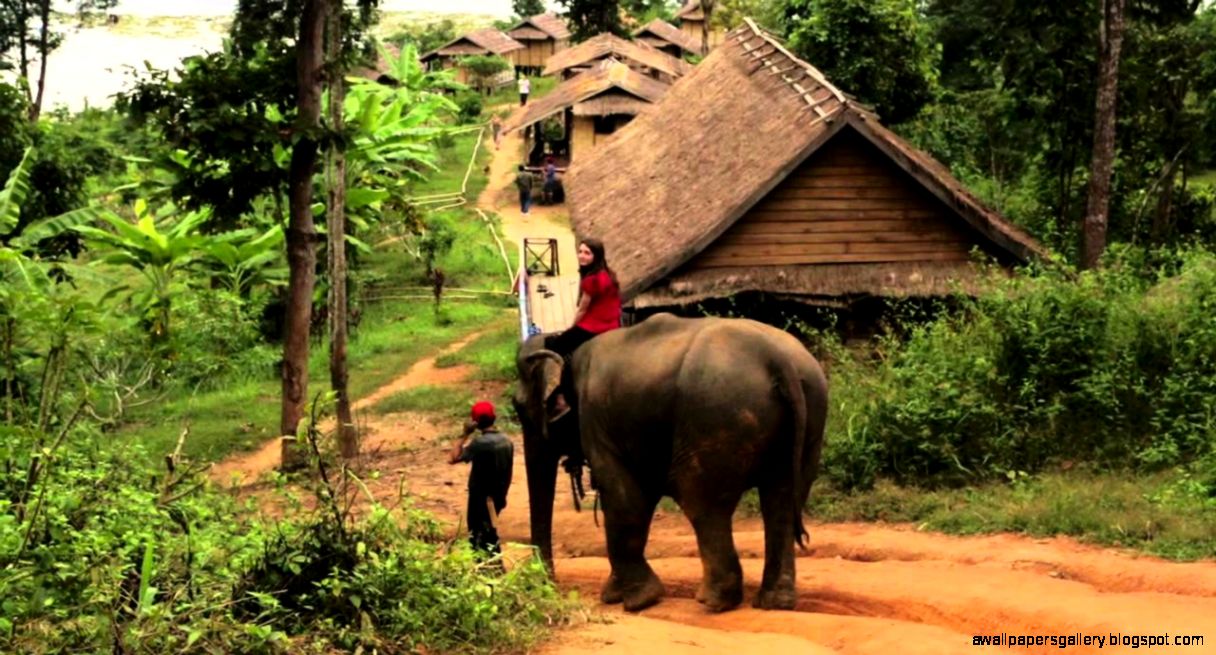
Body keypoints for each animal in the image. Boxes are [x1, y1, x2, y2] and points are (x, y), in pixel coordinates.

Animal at [512, 313, 829, 613]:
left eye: (519, 407)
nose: (548, 584)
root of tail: (777, 359)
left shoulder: (594, 418)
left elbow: (623, 497)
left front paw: (639, 601)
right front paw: (614, 595)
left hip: (716, 416)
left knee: (699, 499)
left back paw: (713, 601)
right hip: (808, 416)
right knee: (782, 501)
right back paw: (775, 602)